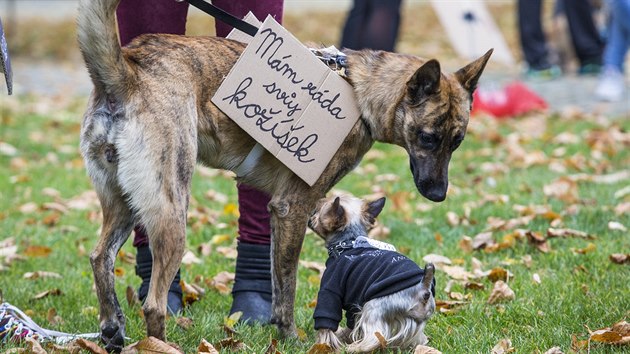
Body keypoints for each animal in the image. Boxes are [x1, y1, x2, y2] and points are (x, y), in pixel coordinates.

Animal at [308, 195, 436, 352]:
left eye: (317, 211)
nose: (310, 215)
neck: (348, 242)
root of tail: (423, 288)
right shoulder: (353, 301)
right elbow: (351, 322)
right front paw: (344, 336)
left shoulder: (331, 289)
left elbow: (326, 322)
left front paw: (323, 346)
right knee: (419, 339)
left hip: (374, 306)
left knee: (374, 336)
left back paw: (355, 348)